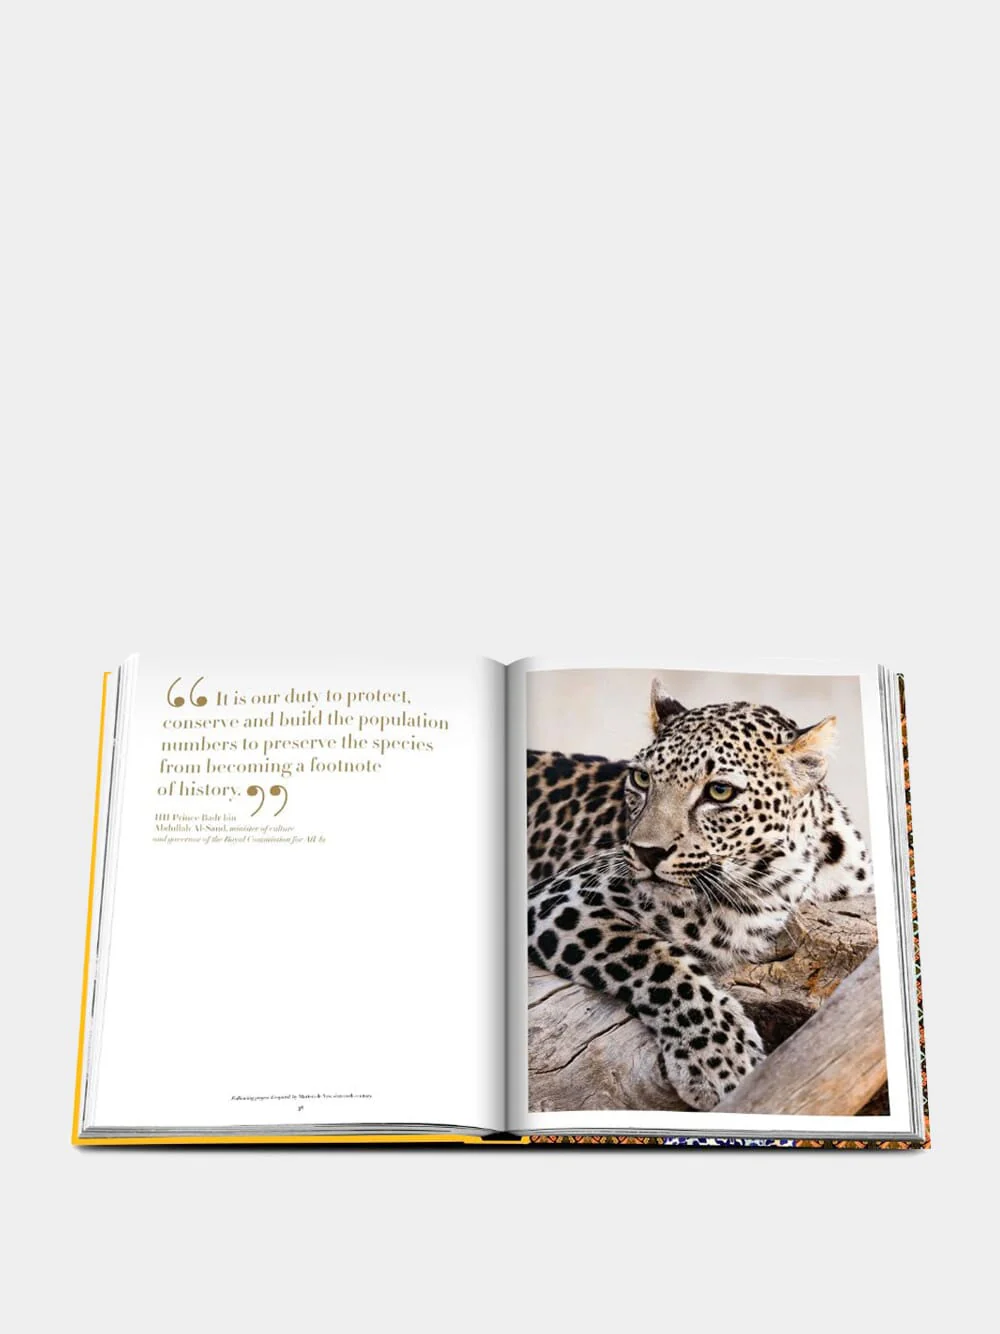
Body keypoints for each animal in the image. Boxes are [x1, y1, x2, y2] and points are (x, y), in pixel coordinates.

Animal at [527, 678, 873, 1111]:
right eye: (642, 779)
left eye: (720, 791)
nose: (646, 852)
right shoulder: (565, 897)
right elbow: (657, 960)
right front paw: (720, 1060)